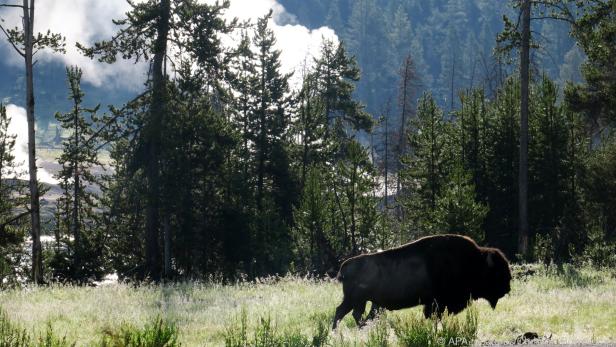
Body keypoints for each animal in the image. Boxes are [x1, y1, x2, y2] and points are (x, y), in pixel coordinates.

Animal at [332, 234, 510, 328]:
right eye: (497, 272)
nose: (507, 288)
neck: (474, 261)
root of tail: (345, 266)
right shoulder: (437, 303)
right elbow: (432, 316)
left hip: (362, 301)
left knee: (347, 312)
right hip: (356, 300)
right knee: (347, 313)